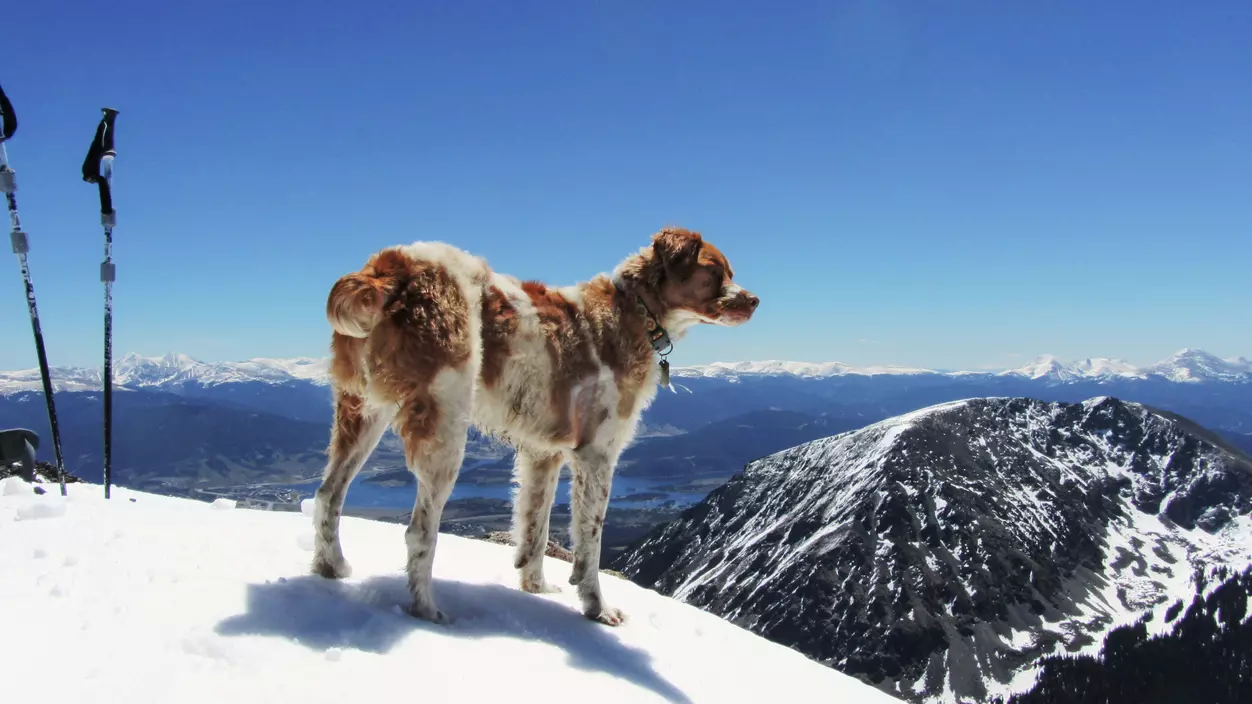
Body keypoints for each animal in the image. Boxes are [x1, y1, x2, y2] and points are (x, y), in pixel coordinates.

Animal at [310, 227, 761, 621]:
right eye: (714, 271)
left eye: (730, 271)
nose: (755, 300)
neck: (633, 310)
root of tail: (389, 267)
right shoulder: (597, 456)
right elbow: (590, 544)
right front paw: (597, 609)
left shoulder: (543, 454)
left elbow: (535, 530)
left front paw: (536, 588)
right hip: (445, 427)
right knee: (419, 531)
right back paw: (426, 609)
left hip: (361, 413)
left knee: (328, 495)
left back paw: (330, 567)